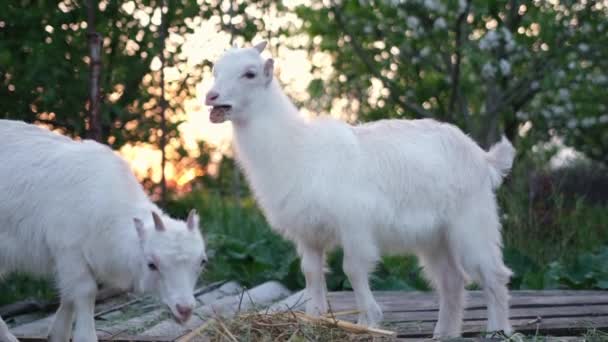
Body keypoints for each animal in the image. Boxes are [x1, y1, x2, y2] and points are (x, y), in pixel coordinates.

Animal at [0, 119, 207, 342]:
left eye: (202, 262)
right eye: (151, 264)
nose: (185, 309)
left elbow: (68, 293)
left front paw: (58, 333)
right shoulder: (68, 248)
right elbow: (85, 291)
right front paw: (85, 336)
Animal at [207, 42, 516, 336]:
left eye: (250, 73)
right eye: (215, 70)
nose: (211, 97)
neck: (299, 147)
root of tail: (484, 157)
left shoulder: (354, 225)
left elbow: (352, 269)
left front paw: (368, 319)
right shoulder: (308, 233)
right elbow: (311, 272)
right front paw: (314, 317)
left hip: (472, 221)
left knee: (493, 274)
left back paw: (497, 330)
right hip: (434, 237)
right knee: (451, 279)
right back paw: (443, 333)